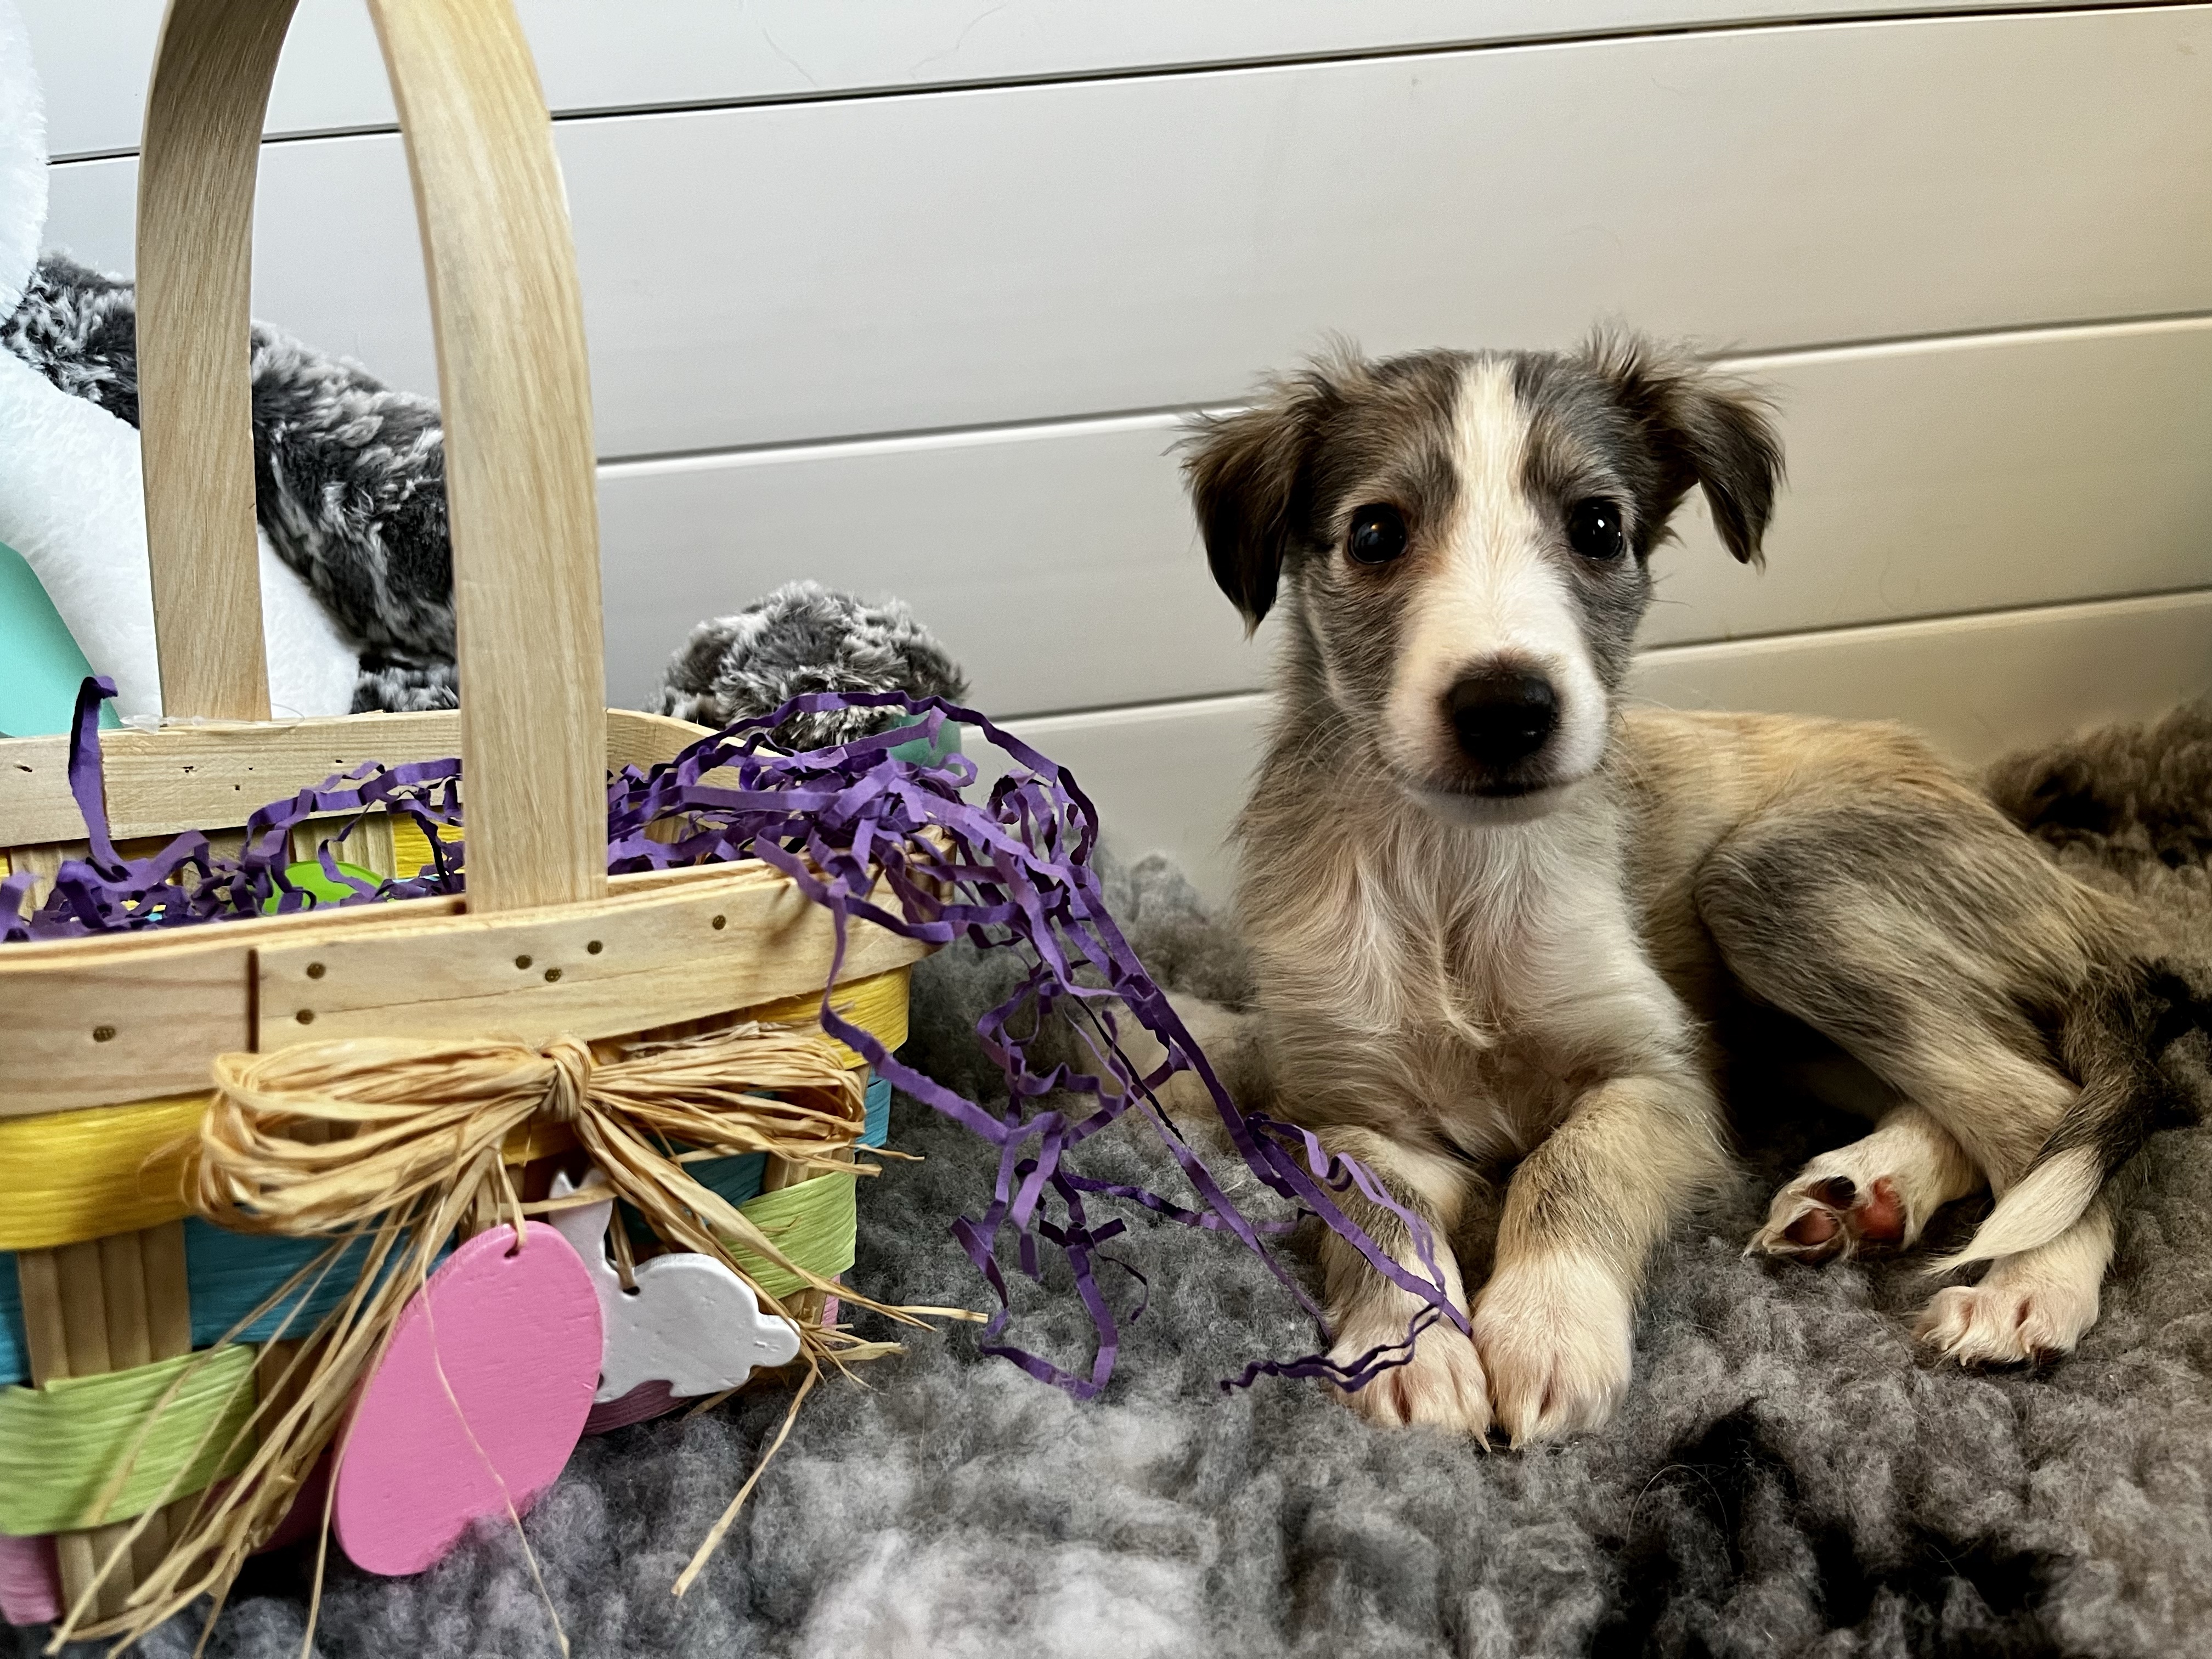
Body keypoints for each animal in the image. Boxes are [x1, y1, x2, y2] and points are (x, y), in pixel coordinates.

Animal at [1177, 333, 2203, 1444]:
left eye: (1596, 526)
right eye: (1374, 532)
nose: (1506, 709)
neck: (1455, 874)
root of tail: (2092, 903)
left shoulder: (1663, 1080)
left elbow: (1567, 1164)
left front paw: (1545, 1326)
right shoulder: (1334, 1106)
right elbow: (1374, 1207)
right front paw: (1404, 1348)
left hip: (1772, 882)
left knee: (2045, 1103)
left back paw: (2026, 1286)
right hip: (1789, 1026)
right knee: (1976, 1091)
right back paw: (1865, 1189)